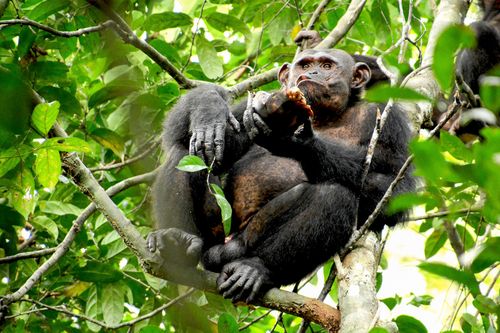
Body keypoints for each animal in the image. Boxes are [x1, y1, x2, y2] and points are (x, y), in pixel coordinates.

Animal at [147, 47, 414, 304]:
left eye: (327, 65)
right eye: (305, 65)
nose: (312, 73)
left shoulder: (389, 118)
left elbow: (395, 184)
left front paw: (293, 142)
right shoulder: (248, 109)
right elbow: (185, 135)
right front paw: (209, 111)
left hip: (244, 243)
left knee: (334, 194)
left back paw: (255, 269)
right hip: (216, 233)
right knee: (184, 154)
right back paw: (177, 240)